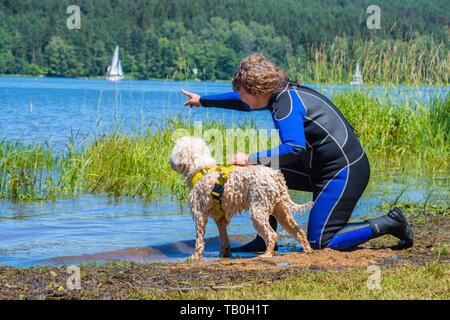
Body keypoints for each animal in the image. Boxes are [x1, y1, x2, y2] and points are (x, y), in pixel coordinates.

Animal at [169, 136, 312, 262]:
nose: (169, 162)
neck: (201, 170)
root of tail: (276, 176)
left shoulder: (200, 215)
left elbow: (199, 240)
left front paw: (194, 257)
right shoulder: (220, 219)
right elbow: (224, 239)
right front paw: (224, 254)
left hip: (258, 210)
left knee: (272, 235)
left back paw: (266, 255)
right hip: (281, 210)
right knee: (298, 230)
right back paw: (307, 250)